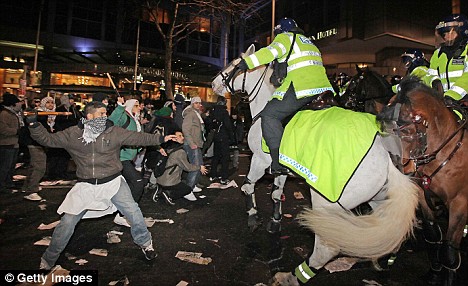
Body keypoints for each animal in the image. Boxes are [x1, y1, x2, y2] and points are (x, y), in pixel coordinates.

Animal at [378, 76, 466, 286]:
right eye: (384, 132)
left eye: (405, 131)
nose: (395, 167)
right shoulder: (422, 195)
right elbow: (432, 235)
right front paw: (434, 272)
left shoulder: (460, 203)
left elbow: (449, 250)